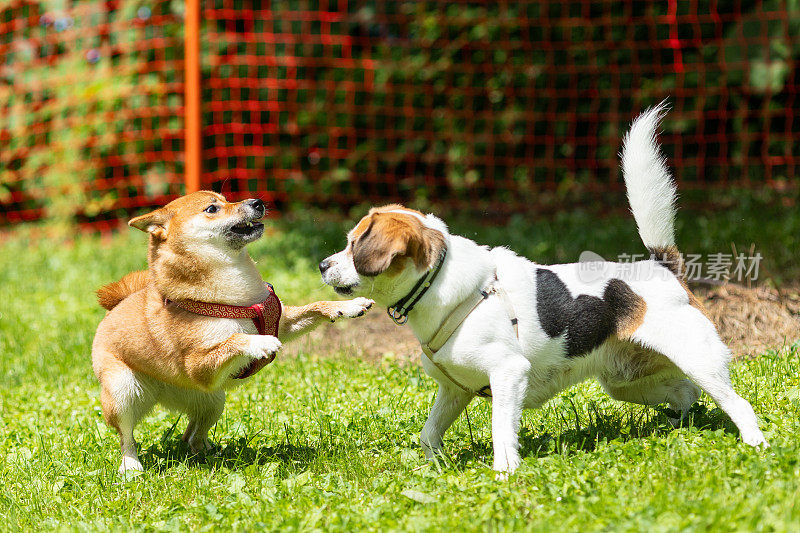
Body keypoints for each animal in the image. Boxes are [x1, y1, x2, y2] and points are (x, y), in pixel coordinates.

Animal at [91, 189, 376, 472]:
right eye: (212, 209)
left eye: (227, 198)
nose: (256, 202)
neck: (237, 297)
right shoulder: (197, 366)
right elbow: (235, 338)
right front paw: (260, 342)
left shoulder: (280, 321)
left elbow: (316, 306)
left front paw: (347, 306)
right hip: (123, 391)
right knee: (126, 436)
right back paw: (131, 465)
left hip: (213, 399)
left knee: (191, 435)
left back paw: (209, 452)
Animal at [318, 104, 768, 474]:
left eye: (355, 245)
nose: (322, 265)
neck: (442, 288)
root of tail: (662, 267)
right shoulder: (454, 389)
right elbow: (429, 435)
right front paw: (435, 468)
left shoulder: (507, 374)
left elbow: (501, 432)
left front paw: (505, 474)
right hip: (627, 381)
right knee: (685, 394)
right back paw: (677, 428)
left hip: (698, 359)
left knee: (737, 403)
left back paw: (756, 446)